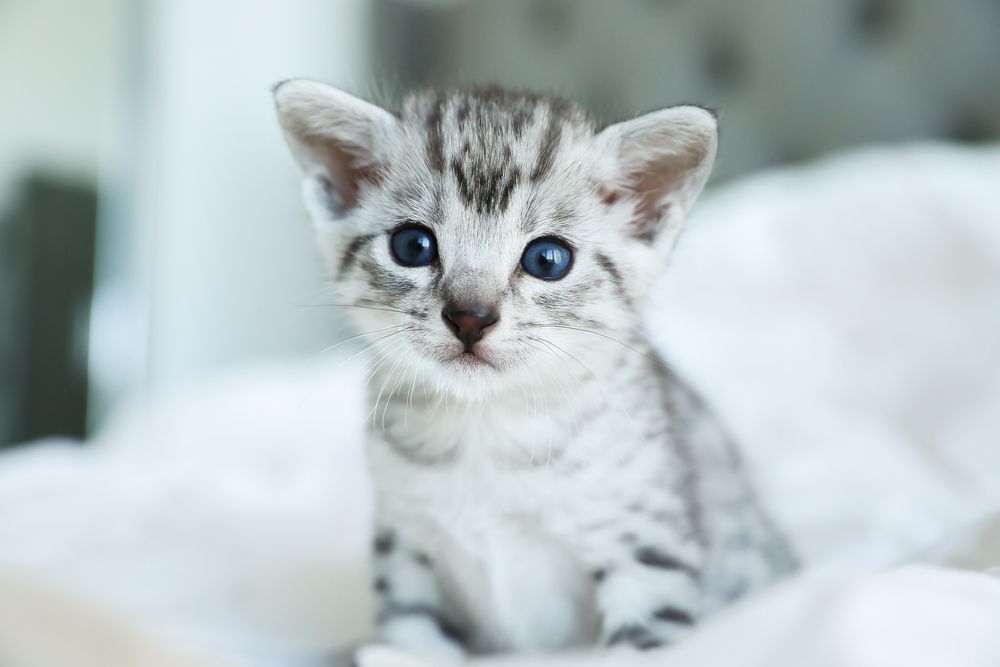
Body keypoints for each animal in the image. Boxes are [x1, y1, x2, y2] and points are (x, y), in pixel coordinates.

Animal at [274, 82, 796, 656]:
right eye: (413, 246)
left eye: (547, 259)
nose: (470, 317)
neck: (485, 429)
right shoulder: (406, 553)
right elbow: (410, 645)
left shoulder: (646, 553)